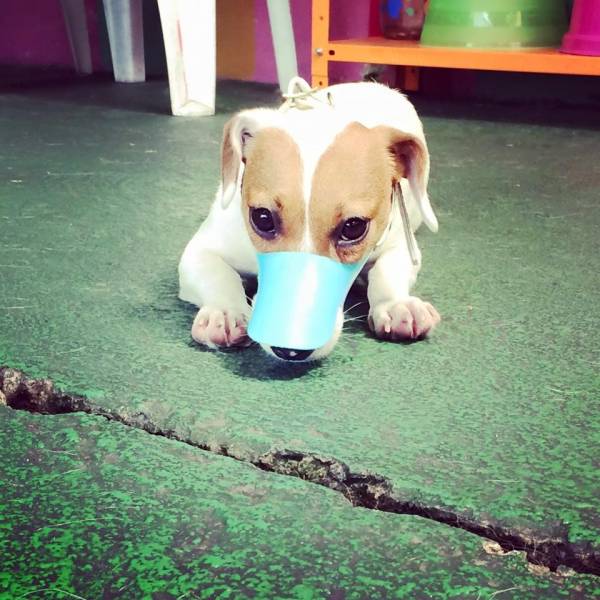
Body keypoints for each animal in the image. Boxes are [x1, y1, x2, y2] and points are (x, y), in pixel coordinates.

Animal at [178, 79, 440, 360]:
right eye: (262, 217)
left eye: (354, 227)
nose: (289, 350)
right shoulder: (200, 252)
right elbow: (218, 276)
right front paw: (225, 312)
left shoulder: (398, 245)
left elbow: (387, 272)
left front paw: (397, 304)